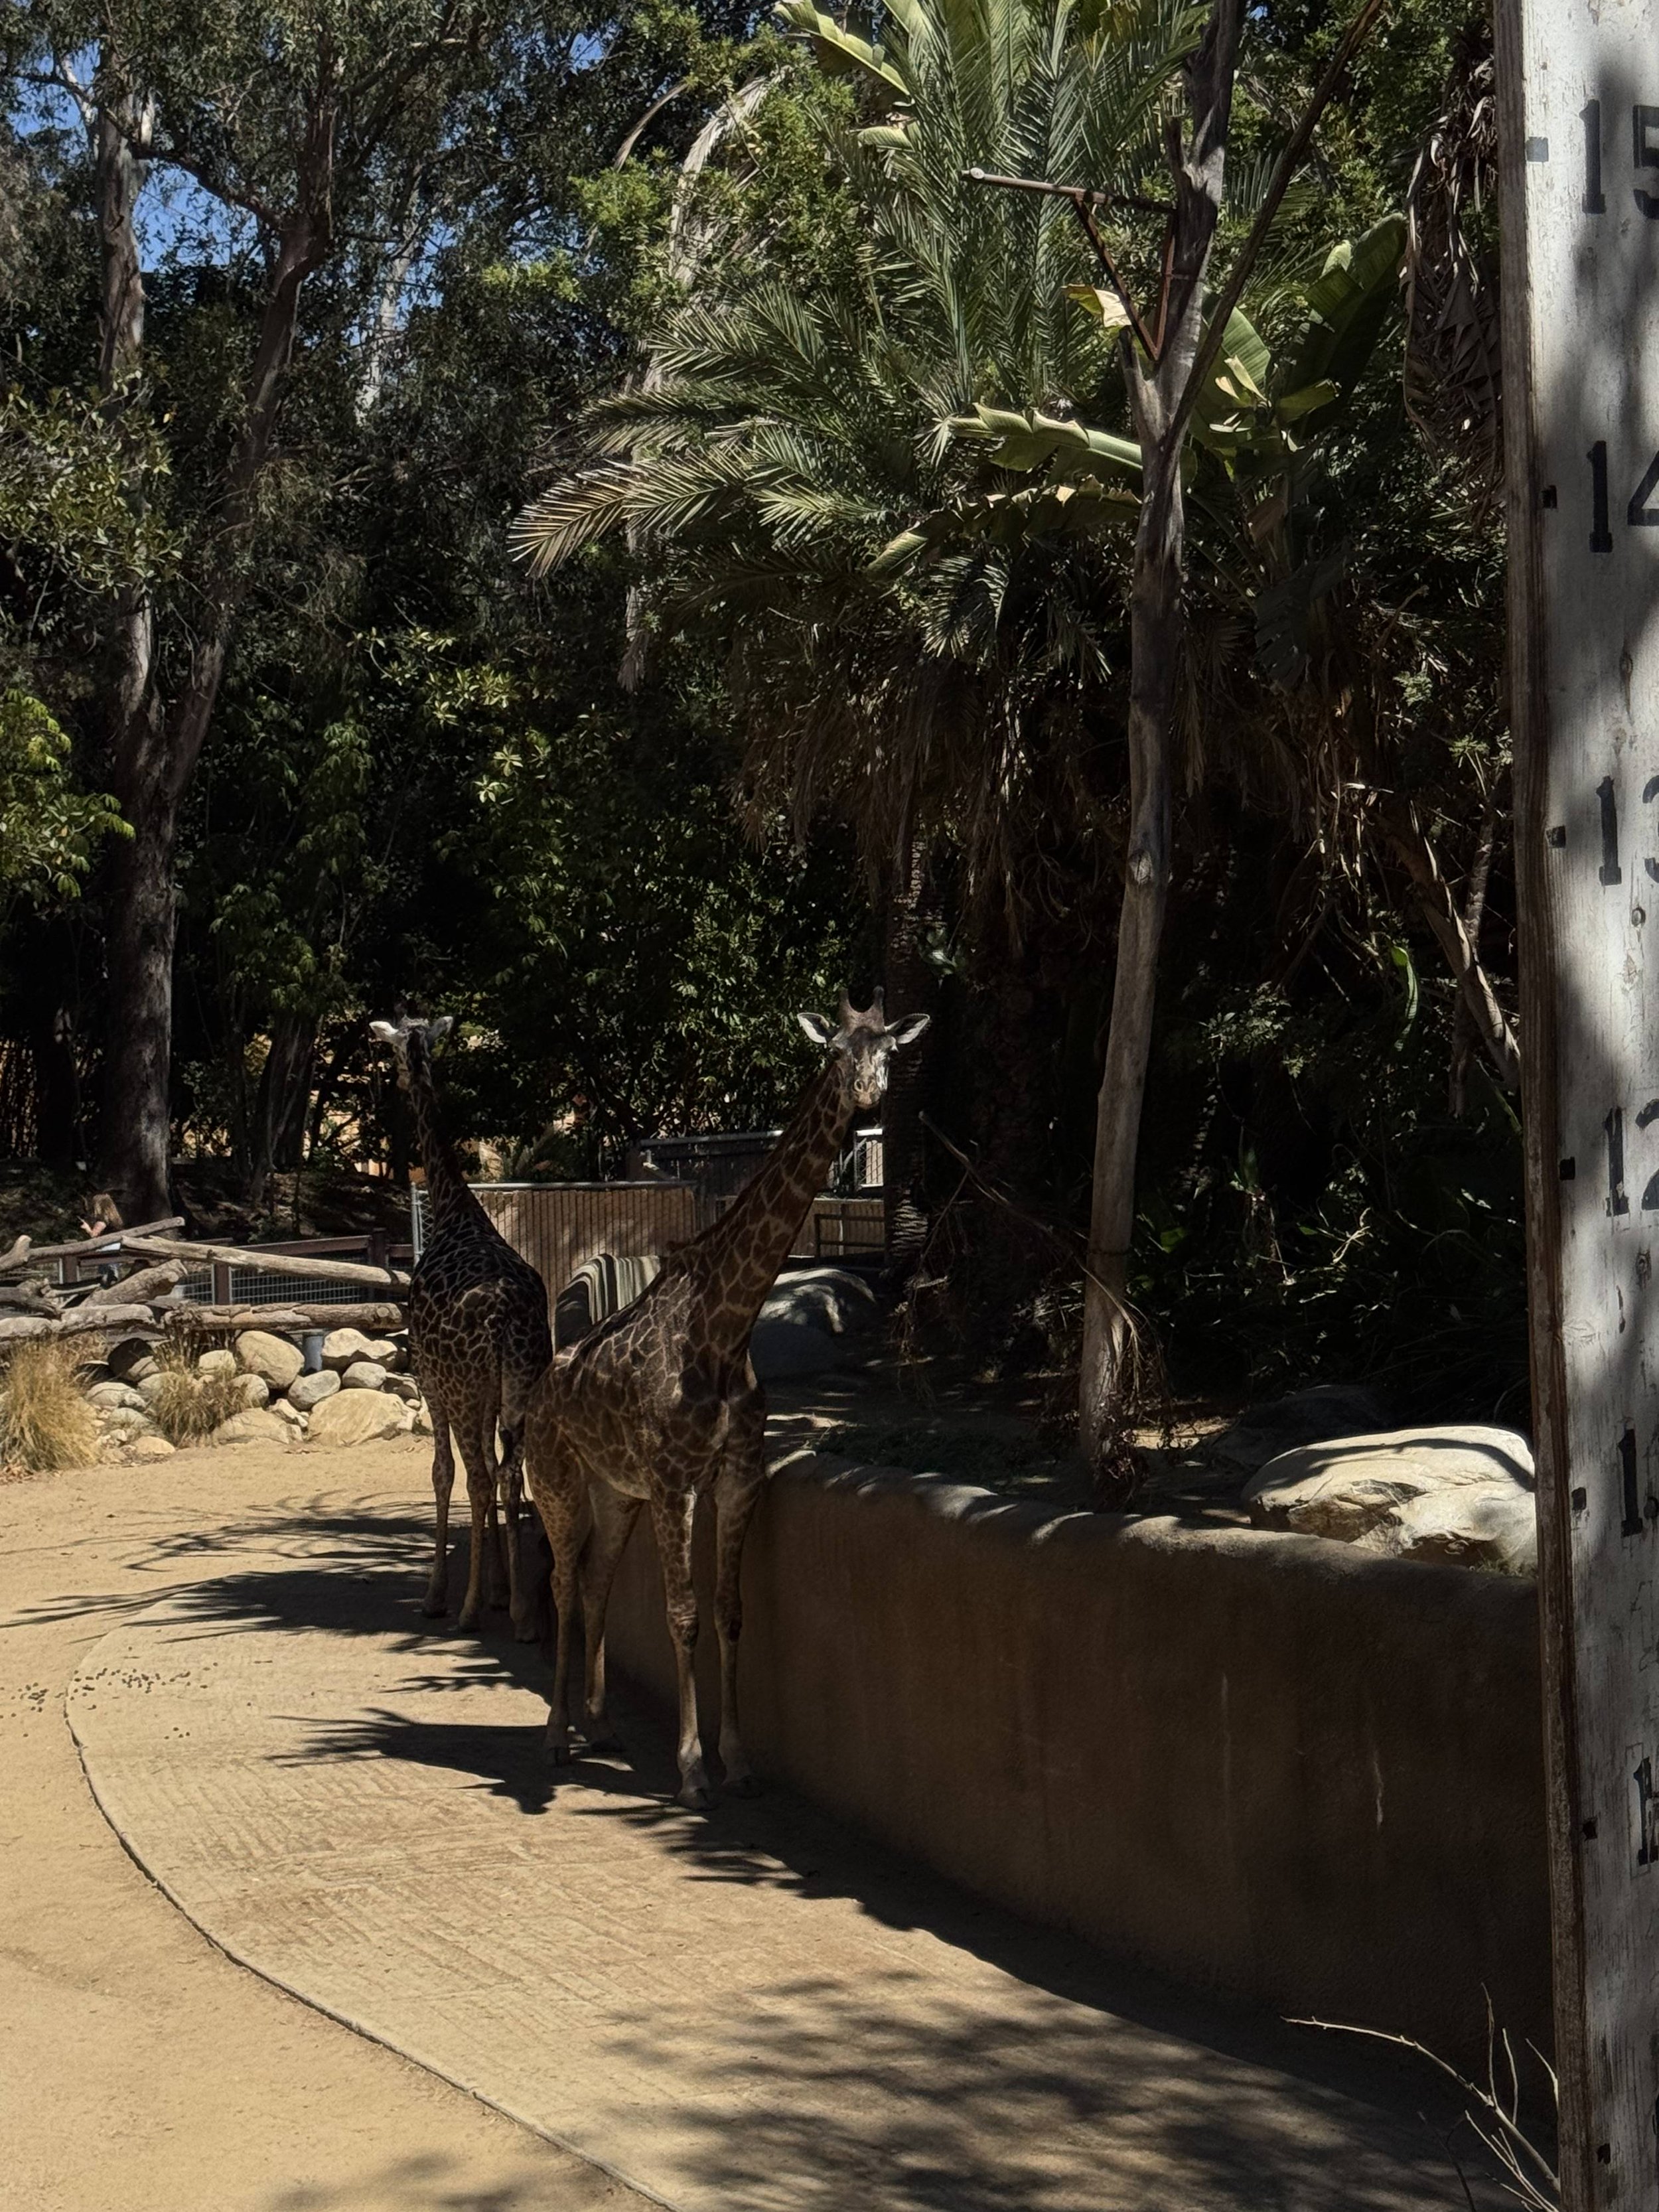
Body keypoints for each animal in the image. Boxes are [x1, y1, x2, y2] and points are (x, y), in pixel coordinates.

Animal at [371, 1015, 553, 1636]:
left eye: (393, 1051)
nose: (400, 1081)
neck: (453, 1206)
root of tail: (505, 1315)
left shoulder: (432, 1383)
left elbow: (442, 1473)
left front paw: (440, 1594)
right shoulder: (495, 1395)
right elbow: (498, 1477)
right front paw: (501, 1588)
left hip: (469, 1389)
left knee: (478, 1474)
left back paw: (470, 1609)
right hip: (520, 1384)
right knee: (510, 1474)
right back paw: (521, 1613)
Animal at [522, 991, 929, 1807]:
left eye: (889, 1052)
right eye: (835, 1049)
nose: (868, 1095)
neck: (726, 1325)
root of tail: (543, 1384)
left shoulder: (736, 1476)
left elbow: (730, 1612)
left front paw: (737, 1761)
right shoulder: (678, 1483)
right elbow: (682, 1615)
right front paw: (690, 1771)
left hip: (616, 1491)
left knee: (594, 1580)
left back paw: (600, 1727)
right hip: (556, 1481)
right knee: (560, 1579)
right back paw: (555, 1737)